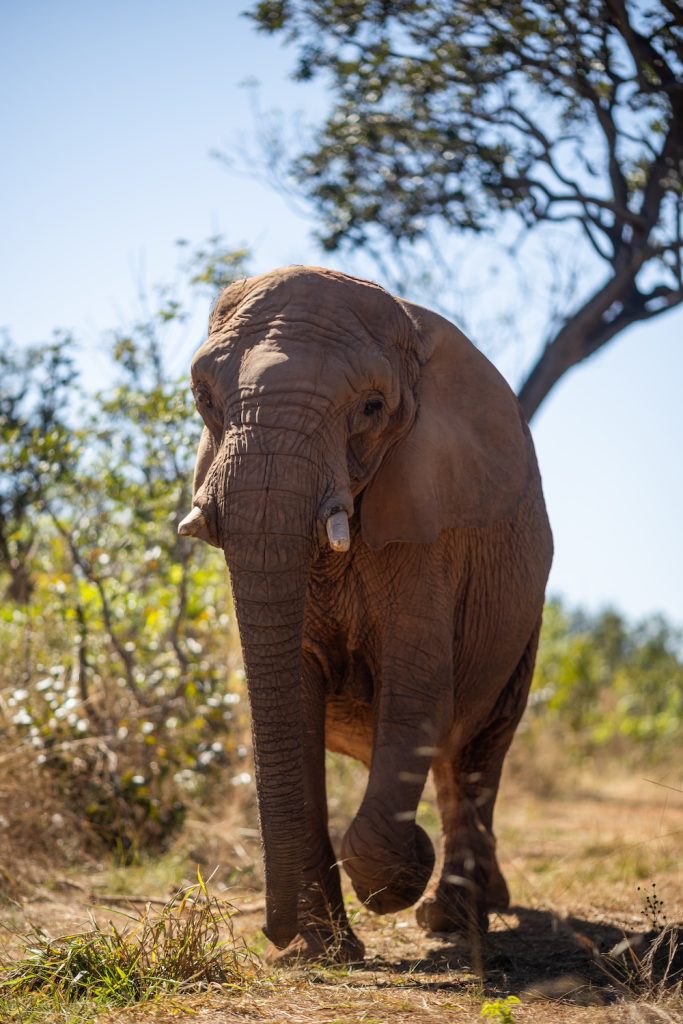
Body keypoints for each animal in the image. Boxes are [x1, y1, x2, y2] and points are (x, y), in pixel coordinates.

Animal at [178, 266, 553, 962]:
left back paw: (451, 917)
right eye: (203, 397)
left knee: (480, 749)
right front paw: (323, 950)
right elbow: (294, 705)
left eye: (373, 408)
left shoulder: (428, 529)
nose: (272, 933)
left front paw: (398, 876)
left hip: (524, 622)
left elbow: (417, 693)